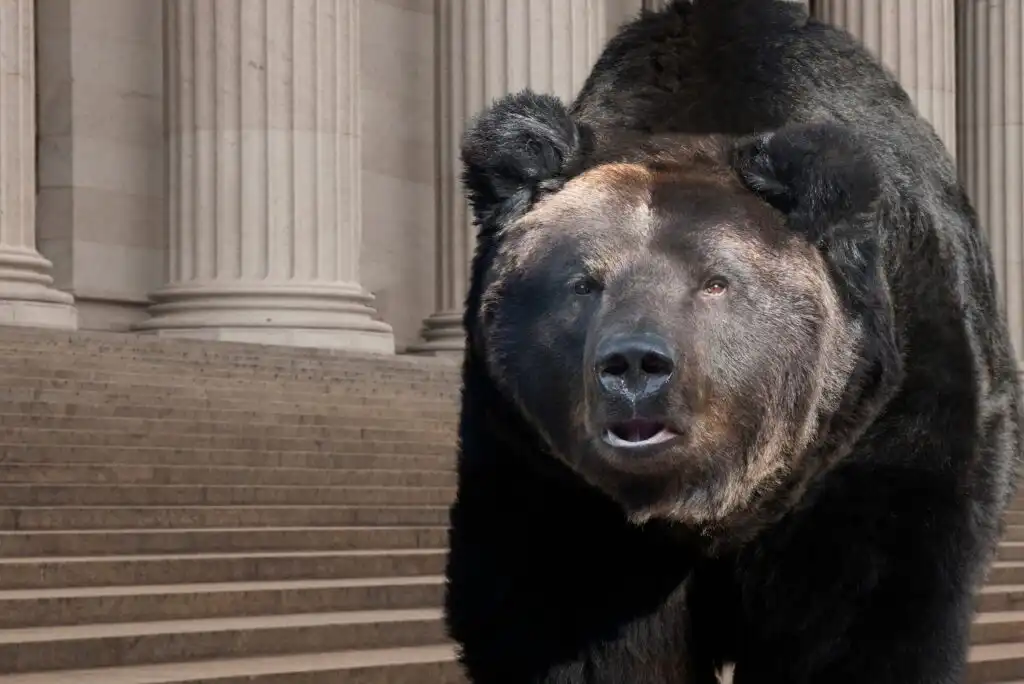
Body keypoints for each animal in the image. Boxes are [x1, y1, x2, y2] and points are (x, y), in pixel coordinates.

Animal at [444, 1, 1023, 683]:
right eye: (583, 281)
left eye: (715, 281)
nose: (635, 365)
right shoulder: (544, 472)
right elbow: (574, 628)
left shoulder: (887, 430)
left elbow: (865, 613)